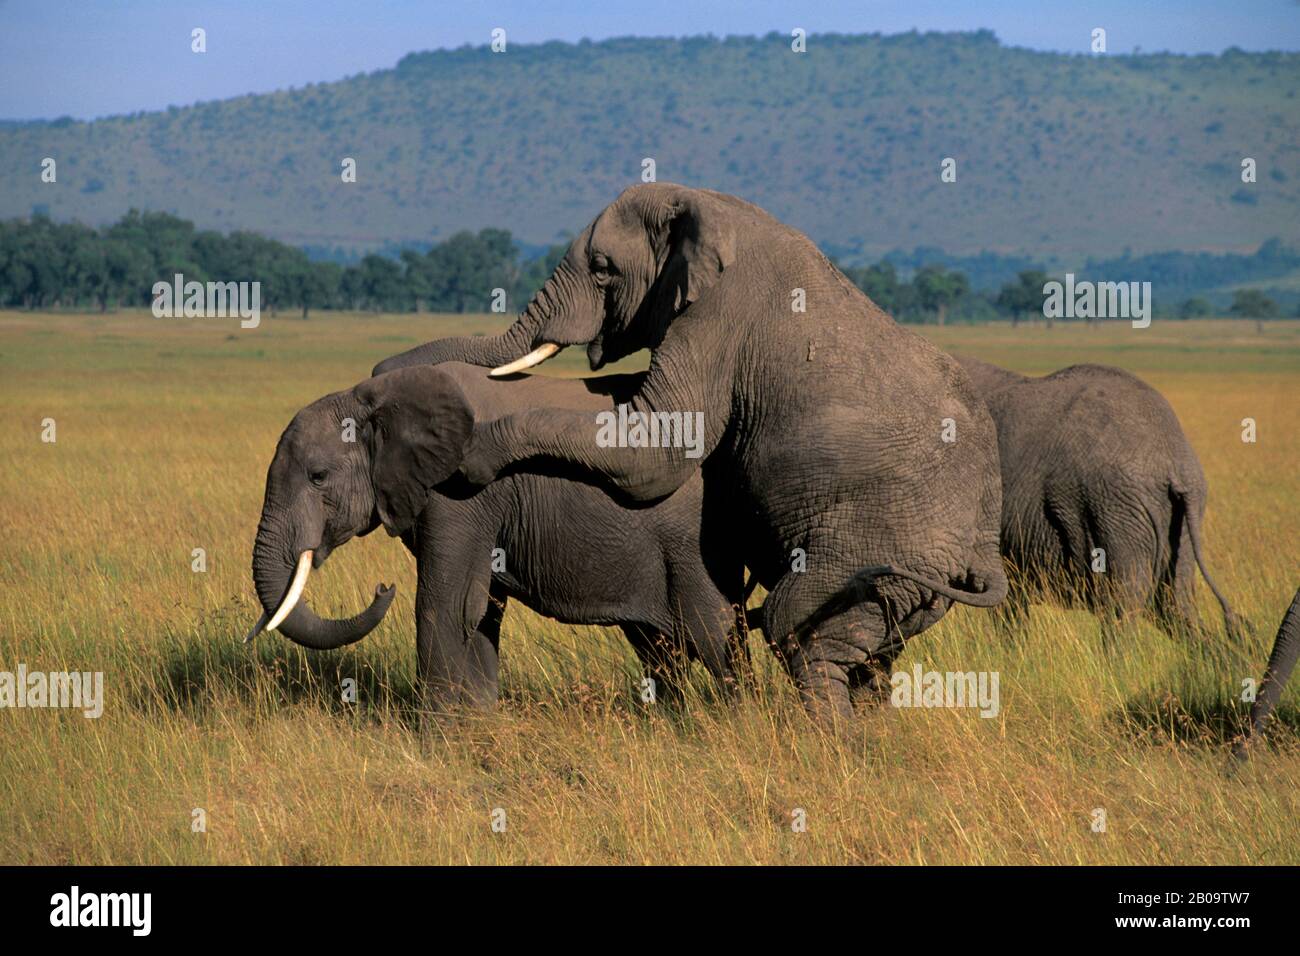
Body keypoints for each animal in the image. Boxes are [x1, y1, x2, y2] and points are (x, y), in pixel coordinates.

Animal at [246, 361, 748, 723]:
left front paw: (437, 738)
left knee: (713, 631)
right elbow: (481, 609)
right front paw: (481, 723)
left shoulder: (460, 492)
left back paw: (734, 722)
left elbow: (447, 605)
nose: (382, 587)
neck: (373, 396)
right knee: (661, 648)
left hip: (693, 546)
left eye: (318, 477)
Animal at [374, 183, 1003, 723]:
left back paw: (831, 741)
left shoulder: (717, 318)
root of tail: (984, 547)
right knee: (868, 656)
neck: (707, 204)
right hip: (909, 582)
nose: (382, 368)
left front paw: (474, 454)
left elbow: (658, 452)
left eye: (601, 267)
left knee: (804, 634)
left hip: (874, 543)